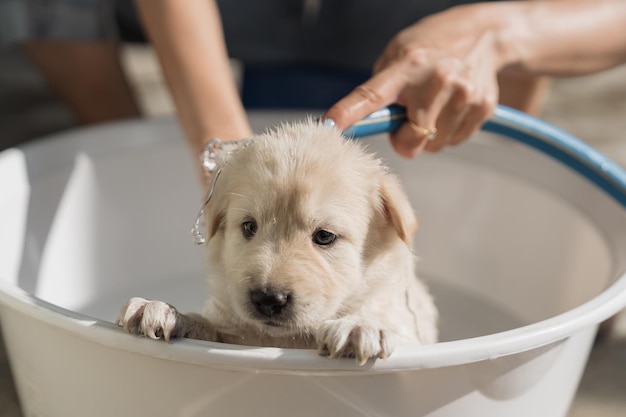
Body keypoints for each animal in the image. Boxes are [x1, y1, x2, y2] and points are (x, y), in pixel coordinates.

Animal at [118, 118, 438, 362]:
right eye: (249, 227)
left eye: (325, 236)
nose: (268, 299)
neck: (292, 338)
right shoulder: (232, 329)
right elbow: (210, 326)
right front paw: (164, 310)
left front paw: (358, 327)